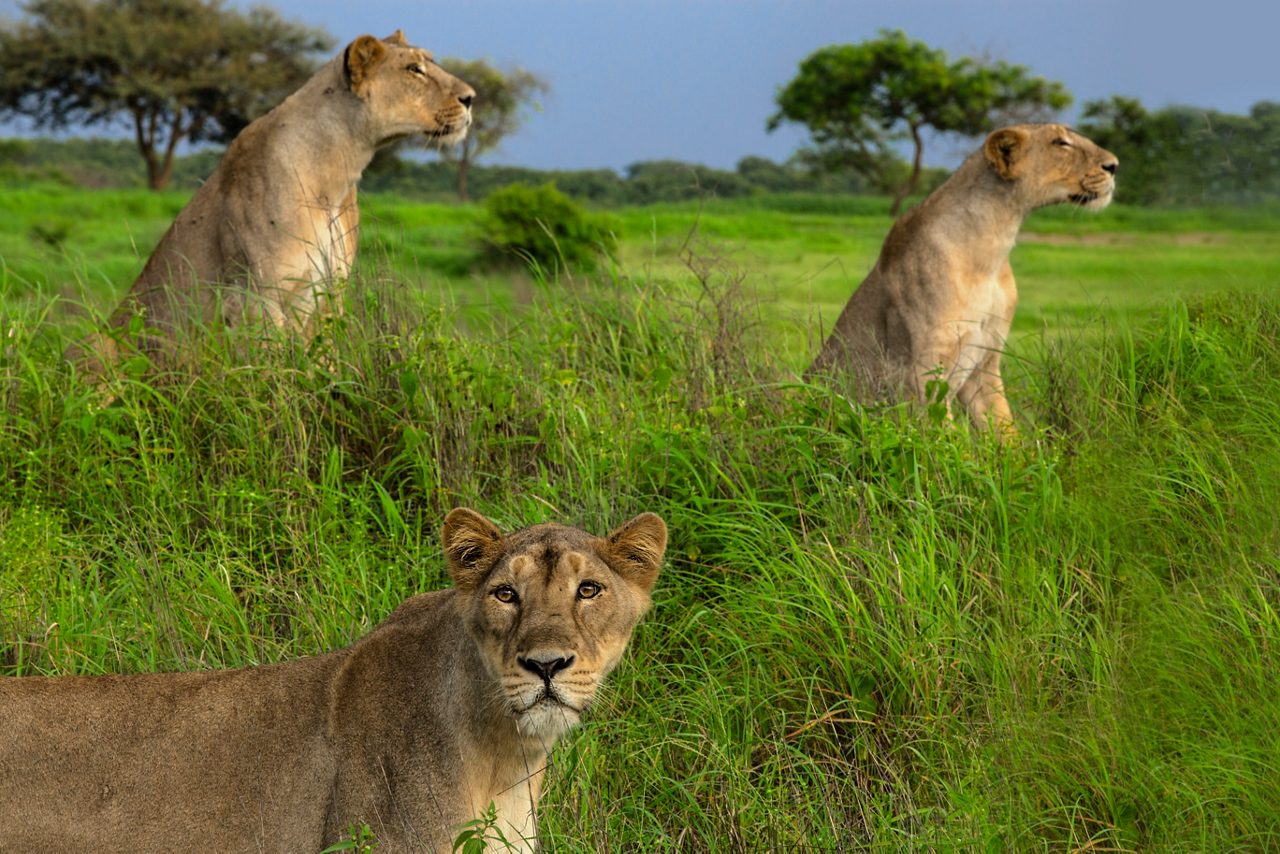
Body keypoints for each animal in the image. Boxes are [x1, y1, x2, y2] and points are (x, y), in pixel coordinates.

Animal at [68, 30, 474, 376]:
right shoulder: (256, 295)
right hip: (98, 342)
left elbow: (325, 366)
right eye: (414, 70)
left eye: (429, 63)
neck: (339, 170)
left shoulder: (330, 293)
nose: (471, 97)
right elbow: (272, 378)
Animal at [809, 123, 1118, 435]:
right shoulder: (923, 373)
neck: (993, 248)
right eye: (1060, 143)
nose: (1114, 165)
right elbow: (945, 440)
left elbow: (1005, 431)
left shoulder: (985, 363)